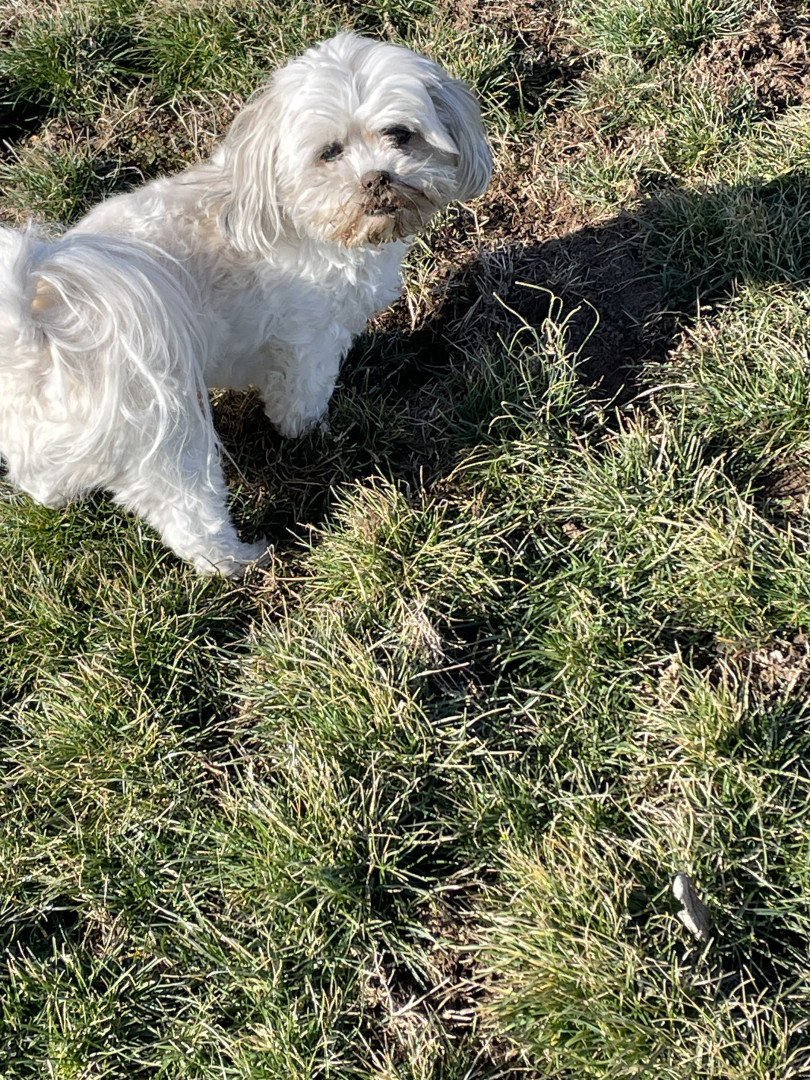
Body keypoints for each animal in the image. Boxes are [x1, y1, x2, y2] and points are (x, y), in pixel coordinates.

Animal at [0, 33, 491, 575]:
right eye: (329, 152)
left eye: (401, 134)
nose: (376, 178)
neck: (290, 212)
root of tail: (36, 335)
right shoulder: (307, 341)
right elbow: (300, 400)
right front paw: (315, 432)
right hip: (166, 436)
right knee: (190, 519)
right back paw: (241, 561)